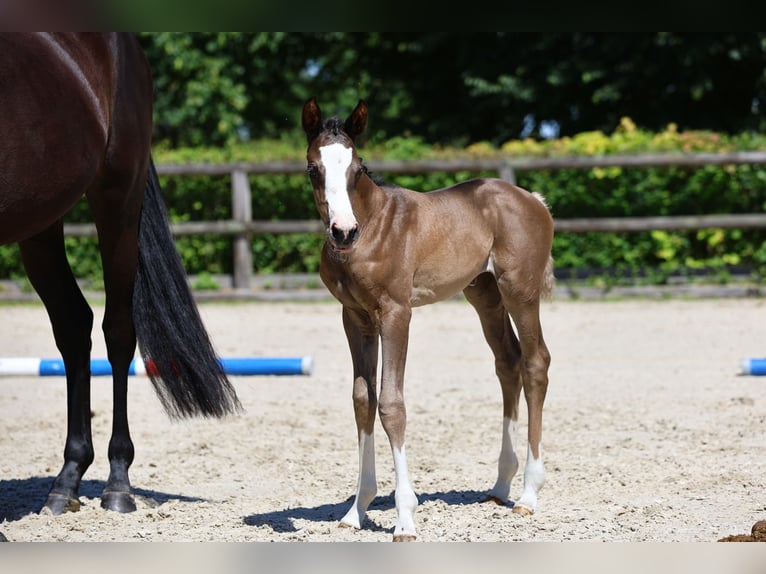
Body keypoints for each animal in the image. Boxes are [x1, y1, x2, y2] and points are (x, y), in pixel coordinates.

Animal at [0, 30, 240, 528]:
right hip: (40, 219)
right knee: (74, 326)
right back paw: (67, 481)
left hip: (117, 201)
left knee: (117, 331)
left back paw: (117, 484)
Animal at [304, 97, 556, 544]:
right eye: (314, 168)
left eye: (357, 168)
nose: (343, 231)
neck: (372, 226)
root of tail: (533, 199)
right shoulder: (355, 317)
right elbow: (362, 400)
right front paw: (357, 509)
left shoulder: (396, 312)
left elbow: (391, 404)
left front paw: (405, 518)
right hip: (484, 294)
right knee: (508, 363)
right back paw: (500, 486)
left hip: (520, 291)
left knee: (535, 363)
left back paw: (528, 495)